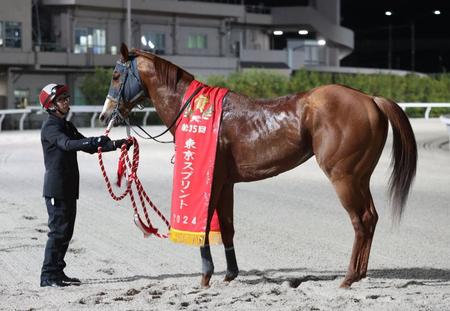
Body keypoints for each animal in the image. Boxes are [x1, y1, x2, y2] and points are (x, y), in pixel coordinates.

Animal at [100, 43, 416, 288]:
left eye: (116, 75)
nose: (105, 115)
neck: (195, 110)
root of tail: (370, 99)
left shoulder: (212, 180)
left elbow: (204, 225)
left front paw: (205, 277)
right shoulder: (226, 182)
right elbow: (227, 227)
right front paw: (230, 274)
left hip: (344, 178)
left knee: (360, 222)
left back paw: (349, 277)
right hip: (360, 177)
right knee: (371, 218)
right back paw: (359, 274)